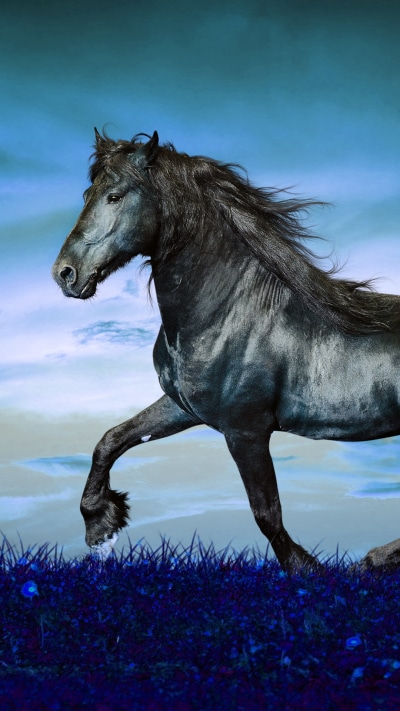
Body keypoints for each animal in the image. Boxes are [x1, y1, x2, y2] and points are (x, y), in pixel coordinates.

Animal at [52, 129, 400, 571]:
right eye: (87, 194)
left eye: (114, 196)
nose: (65, 273)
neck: (228, 313)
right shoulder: (183, 407)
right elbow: (110, 440)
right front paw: (101, 526)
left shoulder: (245, 431)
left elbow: (266, 513)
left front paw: (306, 568)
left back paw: (372, 560)